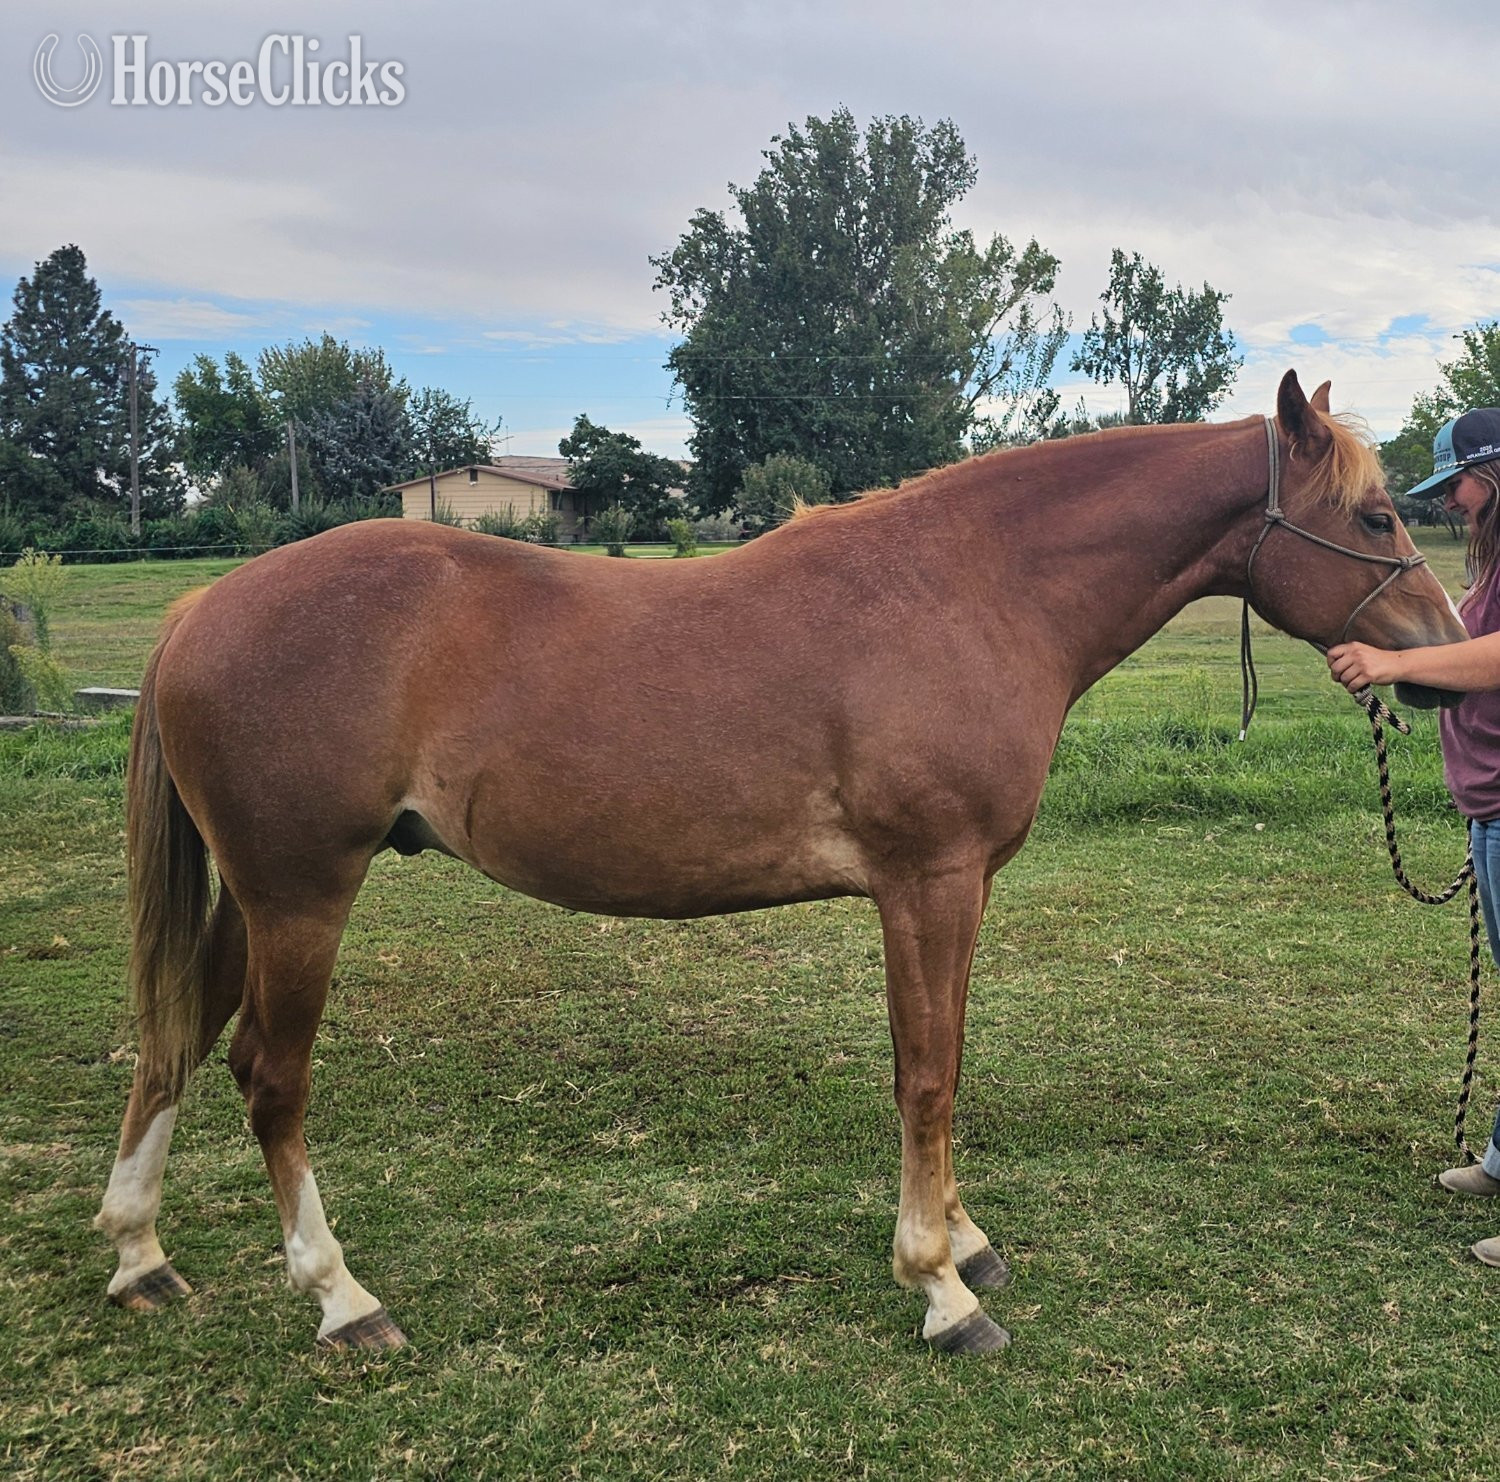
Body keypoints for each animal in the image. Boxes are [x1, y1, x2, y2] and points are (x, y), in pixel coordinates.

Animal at [96, 372, 1468, 1356]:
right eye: (1376, 514)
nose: (1444, 655)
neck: (970, 591)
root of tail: (199, 610)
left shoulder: (957, 889)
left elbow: (946, 1059)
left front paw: (962, 1240)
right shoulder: (926, 882)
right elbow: (927, 1075)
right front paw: (942, 1290)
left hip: (251, 898)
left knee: (172, 1044)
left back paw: (139, 1256)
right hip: (302, 895)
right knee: (267, 1077)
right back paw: (342, 1300)